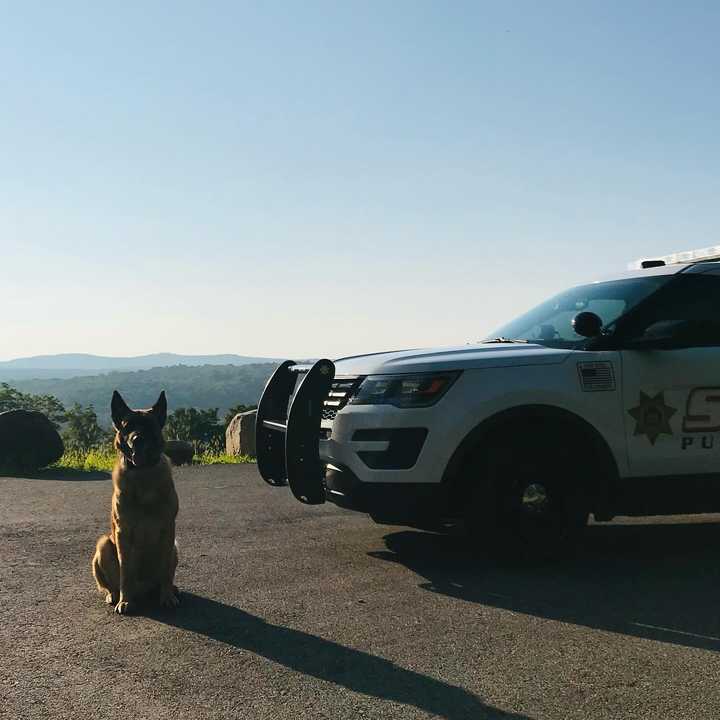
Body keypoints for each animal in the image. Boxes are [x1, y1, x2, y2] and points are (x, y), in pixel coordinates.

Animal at [91, 390, 180, 616]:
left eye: (148, 425)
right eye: (128, 426)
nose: (137, 440)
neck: (143, 475)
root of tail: (144, 589)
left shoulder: (168, 529)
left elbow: (165, 571)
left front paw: (167, 596)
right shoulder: (123, 533)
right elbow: (126, 572)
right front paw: (125, 601)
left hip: (175, 548)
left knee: (164, 576)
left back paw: (168, 589)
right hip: (104, 545)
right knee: (112, 584)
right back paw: (115, 595)